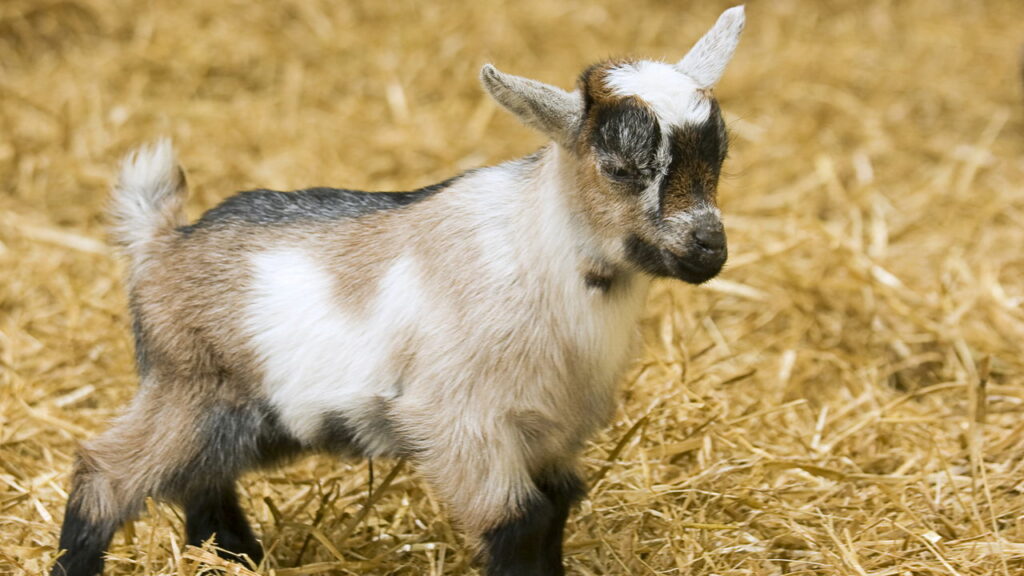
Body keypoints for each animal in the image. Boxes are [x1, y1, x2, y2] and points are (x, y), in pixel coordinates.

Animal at [51, 6, 745, 576]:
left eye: (719, 157)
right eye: (620, 168)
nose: (709, 248)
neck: (542, 255)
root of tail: (159, 242)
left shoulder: (551, 431)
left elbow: (554, 513)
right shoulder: (459, 422)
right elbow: (518, 524)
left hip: (238, 413)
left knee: (202, 486)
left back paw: (242, 560)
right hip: (185, 388)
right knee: (104, 473)